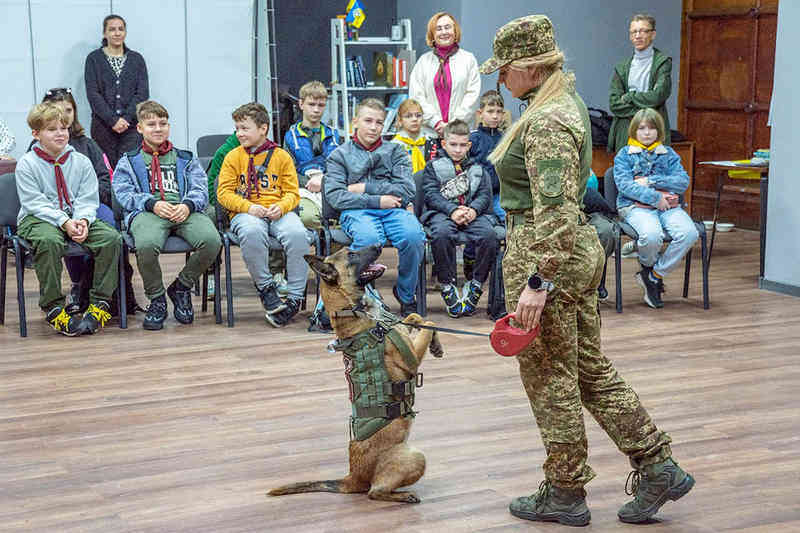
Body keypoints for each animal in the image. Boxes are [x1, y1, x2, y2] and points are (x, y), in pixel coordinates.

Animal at [268, 245, 444, 502]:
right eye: (351, 254)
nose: (380, 244)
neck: (352, 309)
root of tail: (352, 477)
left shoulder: (403, 329)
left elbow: (415, 318)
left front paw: (436, 345)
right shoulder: (411, 356)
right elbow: (428, 322)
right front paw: (434, 340)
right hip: (415, 457)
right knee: (375, 492)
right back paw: (402, 495)